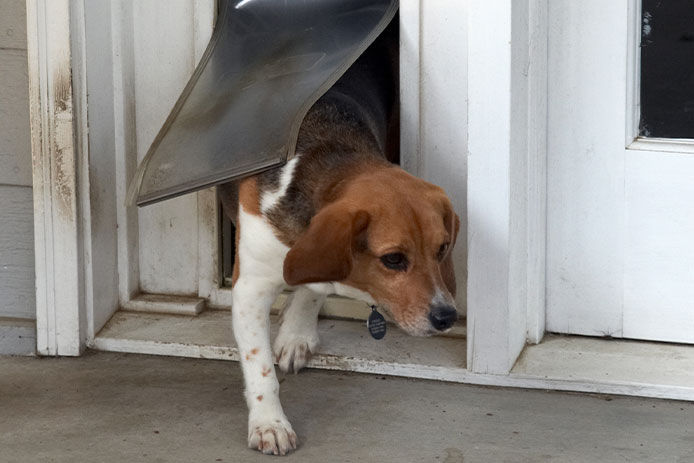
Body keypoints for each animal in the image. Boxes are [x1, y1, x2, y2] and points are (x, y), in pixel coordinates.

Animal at [218, 32, 456, 456]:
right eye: (393, 259)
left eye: (442, 249)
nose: (448, 317)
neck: (325, 157)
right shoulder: (250, 288)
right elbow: (260, 365)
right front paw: (269, 424)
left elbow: (315, 287)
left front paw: (296, 332)